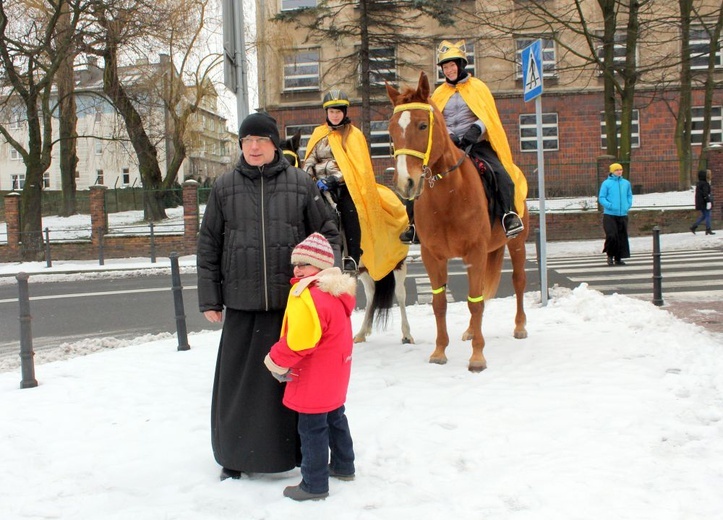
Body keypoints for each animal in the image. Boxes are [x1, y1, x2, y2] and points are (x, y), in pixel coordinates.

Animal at [388, 74, 528, 374]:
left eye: (422, 125)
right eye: (391, 131)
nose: (406, 183)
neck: (448, 195)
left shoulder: (475, 253)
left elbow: (475, 303)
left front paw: (477, 357)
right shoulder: (433, 256)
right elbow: (440, 303)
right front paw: (440, 351)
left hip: (517, 242)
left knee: (518, 280)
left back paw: (520, 326)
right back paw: (471, 331)